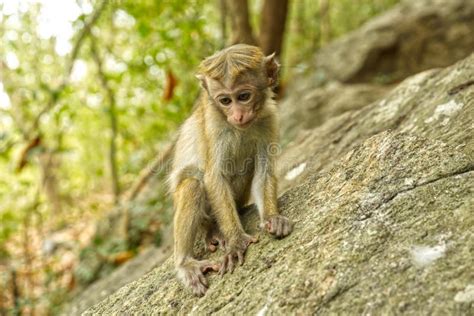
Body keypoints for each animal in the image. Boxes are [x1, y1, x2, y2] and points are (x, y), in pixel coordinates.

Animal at [168, 43, 290, 296]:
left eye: (243, 96)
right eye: (225, 100)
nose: (237, 115)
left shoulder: (269, 118)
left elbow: (263, 172)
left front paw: (273, 217)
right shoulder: (214, 124)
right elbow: (214, 177)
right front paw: (235, 241)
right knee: (192, 184)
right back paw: (189, 258)